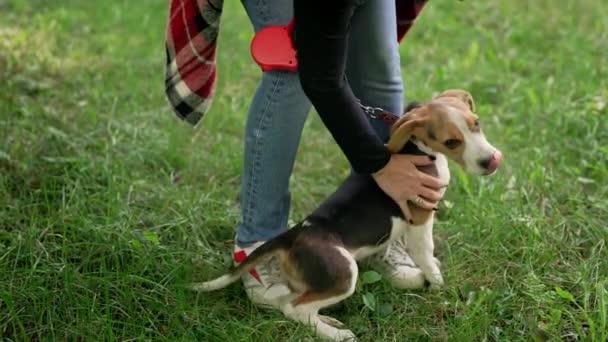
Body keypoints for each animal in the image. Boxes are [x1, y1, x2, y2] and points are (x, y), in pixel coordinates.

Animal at [191, 89, 504, 340]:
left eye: (476, 124)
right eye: (451, 142)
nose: (491, 162)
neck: (415, 147)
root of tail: (292, 235)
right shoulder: (421, 214)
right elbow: (425, 253)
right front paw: (438, 286)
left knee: (291, 303)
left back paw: (327, 321)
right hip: (344, 272)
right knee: (295, 308)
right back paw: (335, 334)